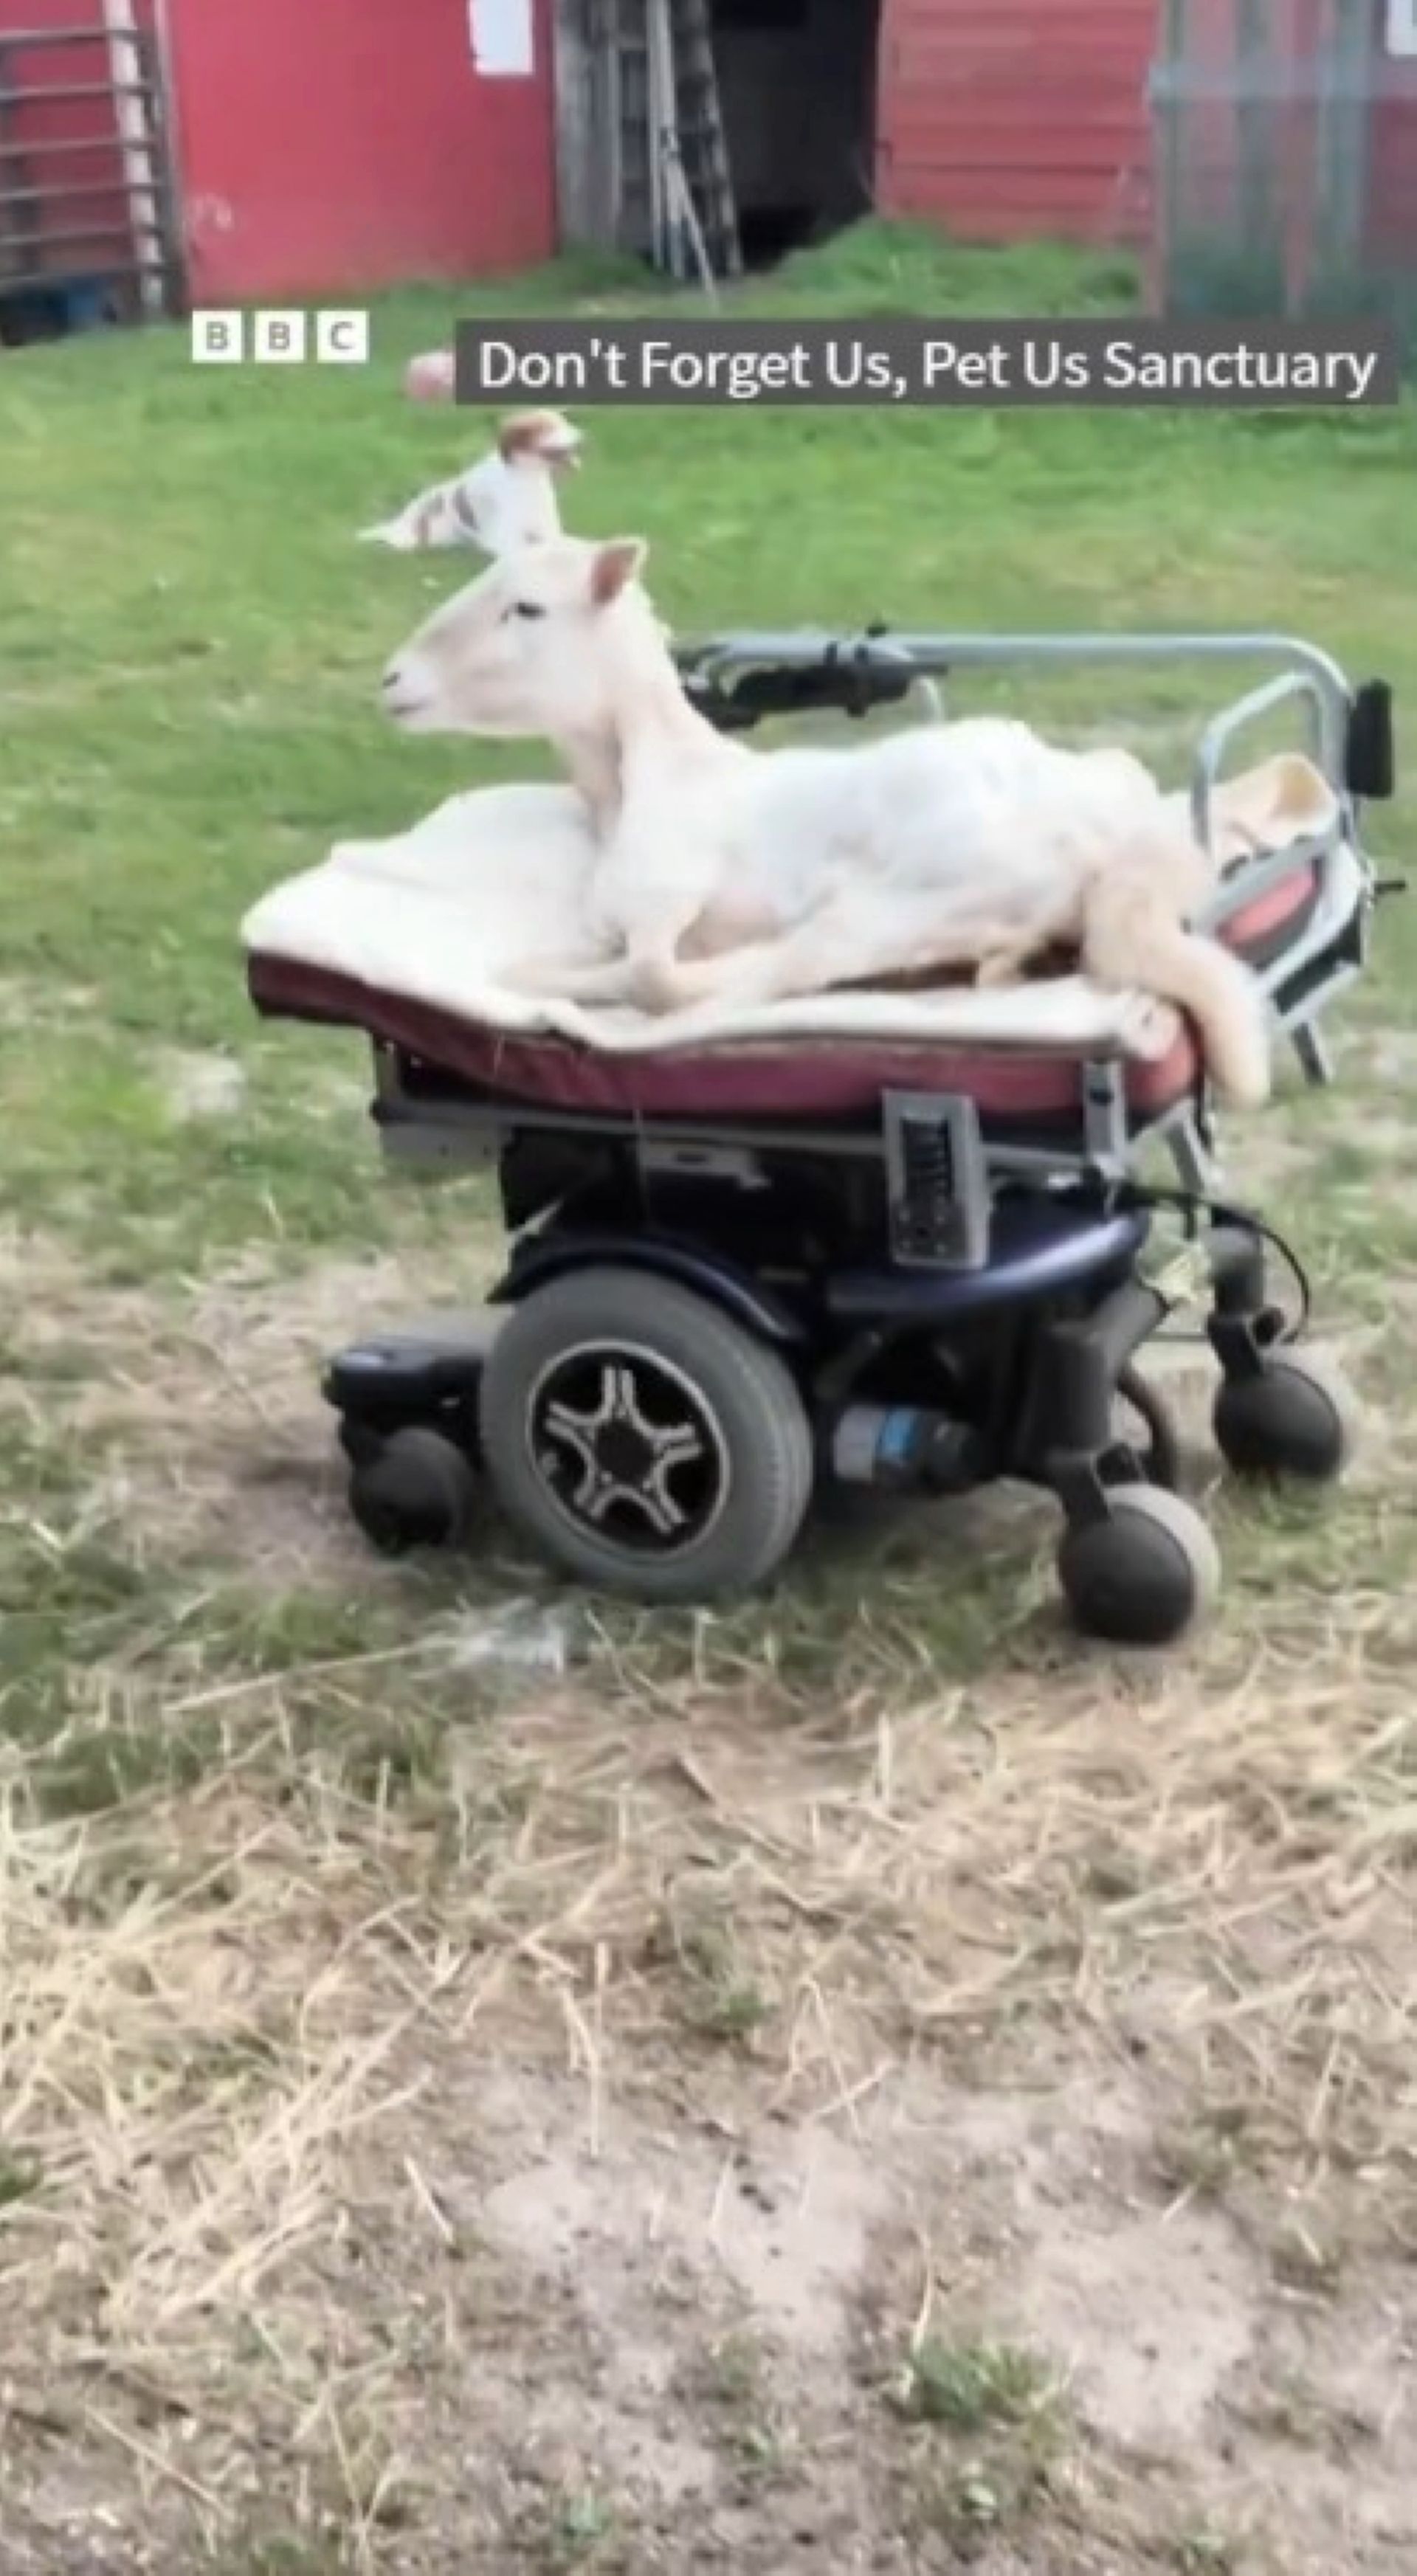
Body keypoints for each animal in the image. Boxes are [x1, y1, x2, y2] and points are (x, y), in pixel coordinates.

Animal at [359, 404, 582, 557]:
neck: (526, 476)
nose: (581, 436)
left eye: (563, 421)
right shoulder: (501, 537)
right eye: (546, 427)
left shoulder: (548, 528)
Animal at [378, 534, 1272, 1107]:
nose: (392, 679)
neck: (644, 773)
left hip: (891, 905)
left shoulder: (669, 895)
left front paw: (574, 983)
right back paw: (1003, 966)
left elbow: (648, 976)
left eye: (526, 608)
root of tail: (1115, 839)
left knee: (764, 978)